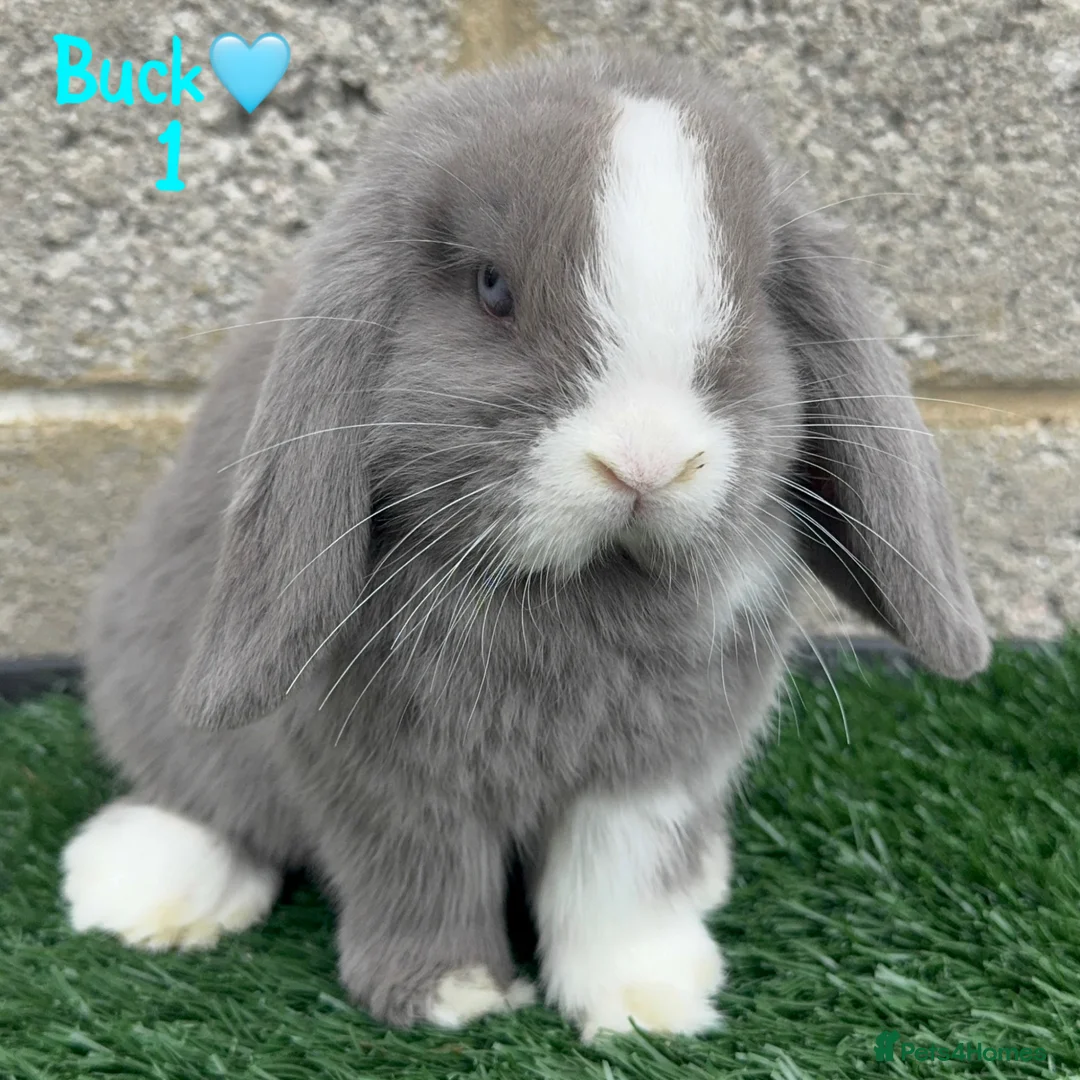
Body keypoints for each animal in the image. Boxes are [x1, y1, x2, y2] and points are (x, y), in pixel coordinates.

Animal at [60, 44, 990, 1040]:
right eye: (492, 288)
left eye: (751, 297)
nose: (647, 462)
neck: (585, 588)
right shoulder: (389, 775)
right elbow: (417, 870)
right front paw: (452, 994)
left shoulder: (651, 773)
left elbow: (618, 884)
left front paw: (646, 1004)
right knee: (207, 799)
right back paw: (141, 891)